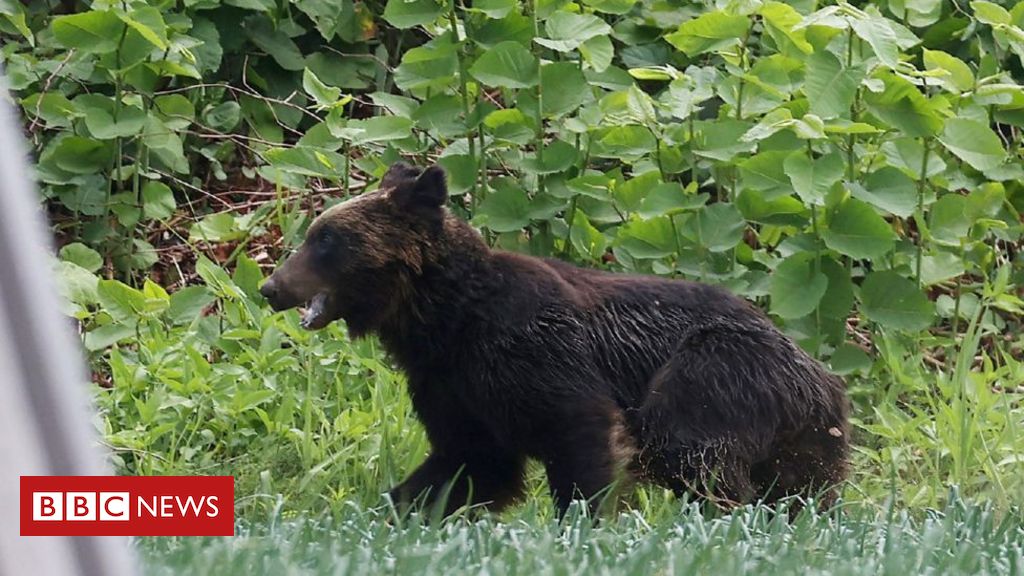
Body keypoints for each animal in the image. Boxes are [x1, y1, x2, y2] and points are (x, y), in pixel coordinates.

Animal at [260, 159, 851, 516]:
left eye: (325, 239)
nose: (270, 286)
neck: (444, 319)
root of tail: (821, 372)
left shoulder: (533, 350)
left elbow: (579, 432)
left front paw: (582, 521)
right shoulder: (450, 384)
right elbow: (468, 462)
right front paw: (398, 508)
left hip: (717, 369)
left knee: (689, 447)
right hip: (805, 435)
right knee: (802, 488)